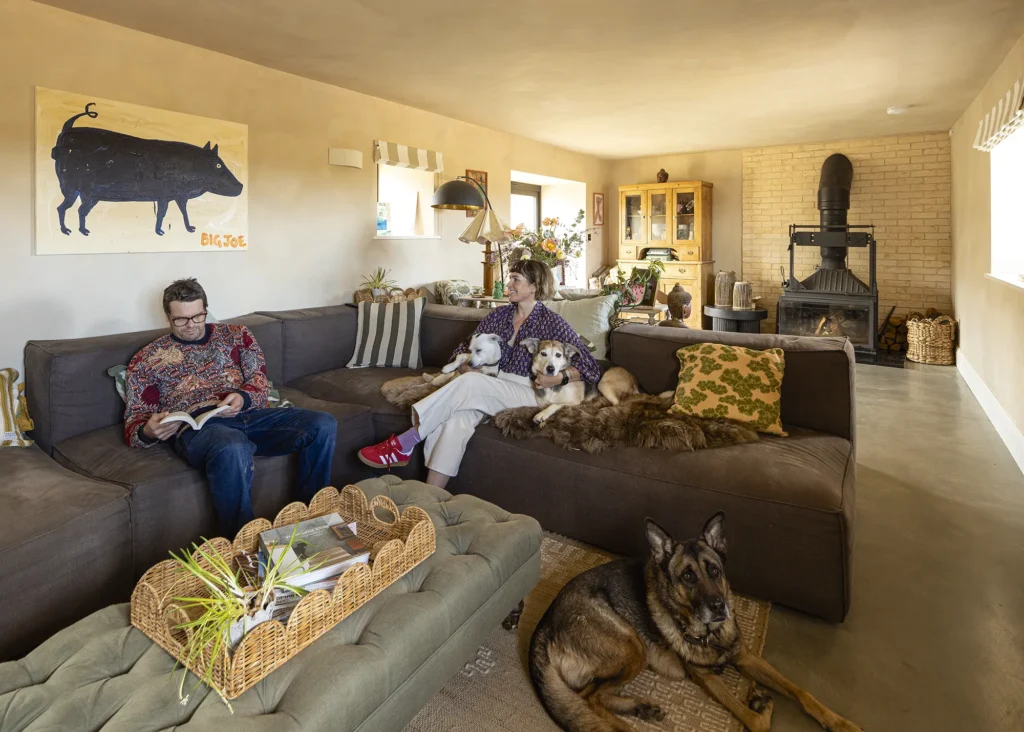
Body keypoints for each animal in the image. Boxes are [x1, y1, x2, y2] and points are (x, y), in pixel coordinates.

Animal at [528, 515, 864, 732]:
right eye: (688, 577)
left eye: (714, 570)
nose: (718, 607)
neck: (711, 634)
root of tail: (545, 623)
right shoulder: (707, 678)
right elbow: (754, 721)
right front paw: (760, 706)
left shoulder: (745, 656)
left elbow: (800, 691)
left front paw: (840, 723)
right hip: (633, 647)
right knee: (589, 699)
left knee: (594, 695)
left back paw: (641, 708)